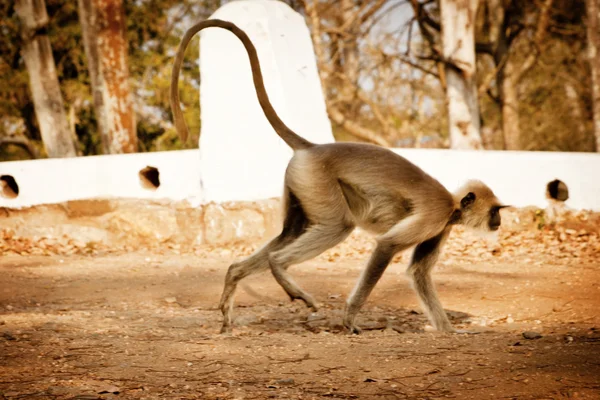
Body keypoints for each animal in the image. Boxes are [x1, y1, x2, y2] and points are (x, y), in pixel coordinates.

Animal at [171, 18, 508, 334]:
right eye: (494, 210)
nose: (498, 221)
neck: (452, 204)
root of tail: (313, 147)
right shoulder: (435, 215)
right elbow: (386, 246)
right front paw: (350, 318)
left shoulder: (441, 226)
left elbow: (419, 273)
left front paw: (448, 331)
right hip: (317, 180)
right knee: (336, 227)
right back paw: (281, 269)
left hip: (300, 184)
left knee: (287, 234)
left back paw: (235, 280)